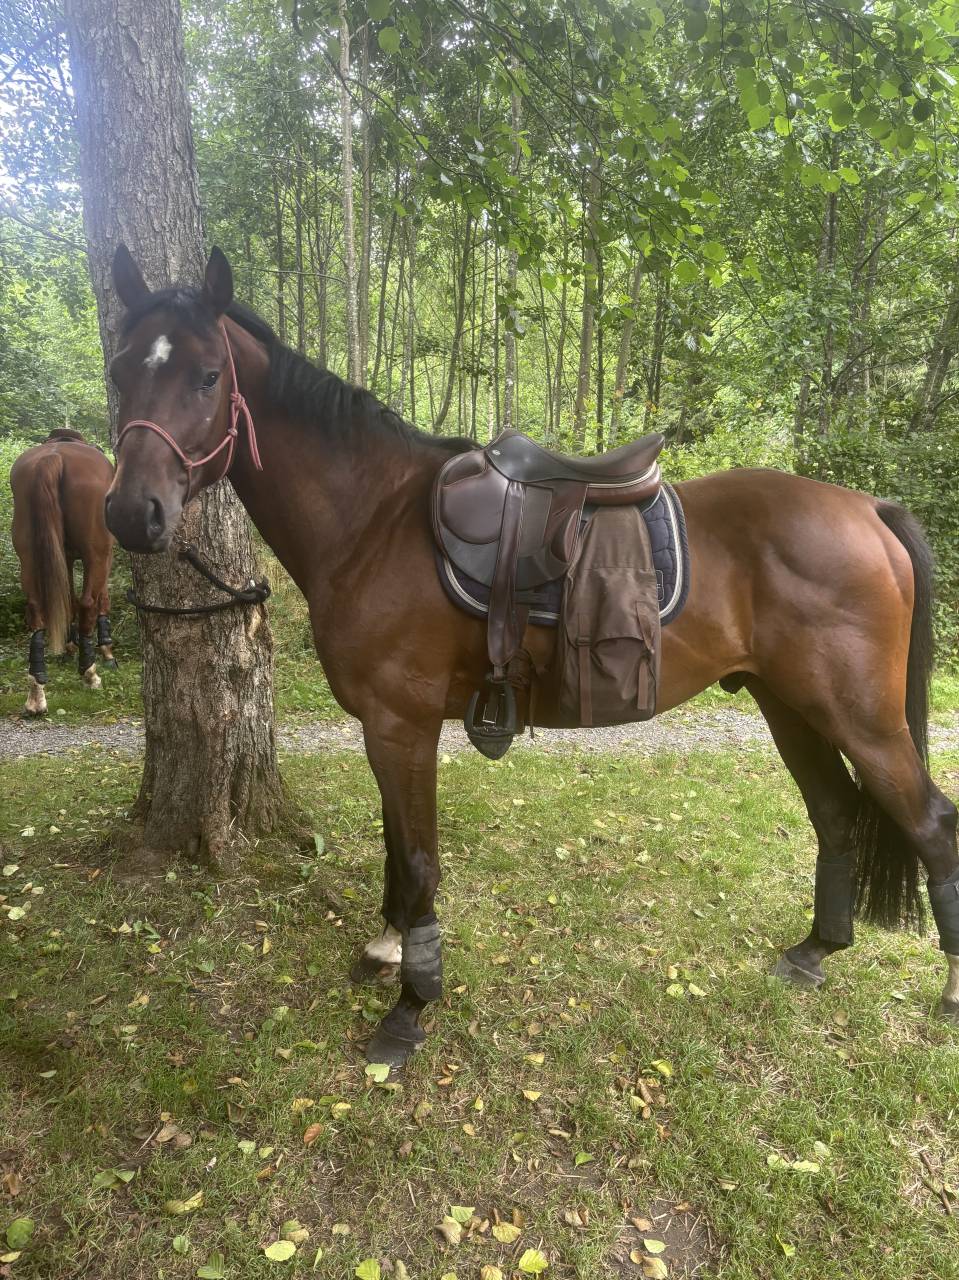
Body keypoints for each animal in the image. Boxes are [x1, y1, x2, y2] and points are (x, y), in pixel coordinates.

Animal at [10, 428, 117, 716]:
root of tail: (53, 458)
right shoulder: (105, 556)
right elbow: (100, 599)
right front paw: (106, 651)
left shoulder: (64, 557)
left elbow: (66, 600)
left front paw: (70, 647)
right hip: (96, 553)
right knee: (88, 602)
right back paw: (89, 673)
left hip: (29, 554)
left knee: (36, 608)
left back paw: (36, 692)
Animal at [102, 245, 959, 1069]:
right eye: (120, 371)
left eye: (207, 375)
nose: (131, 513)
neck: (371, 520)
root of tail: (866, 509)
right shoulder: (389, 728)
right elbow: (394, 847)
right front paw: (388, 948)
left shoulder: (401, 724)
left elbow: (418, 859)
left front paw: (409, 1011)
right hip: (787, 703)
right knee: (835, 813)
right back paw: (814, 951)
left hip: (860, 718)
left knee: (930, 823)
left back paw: (945, 992)